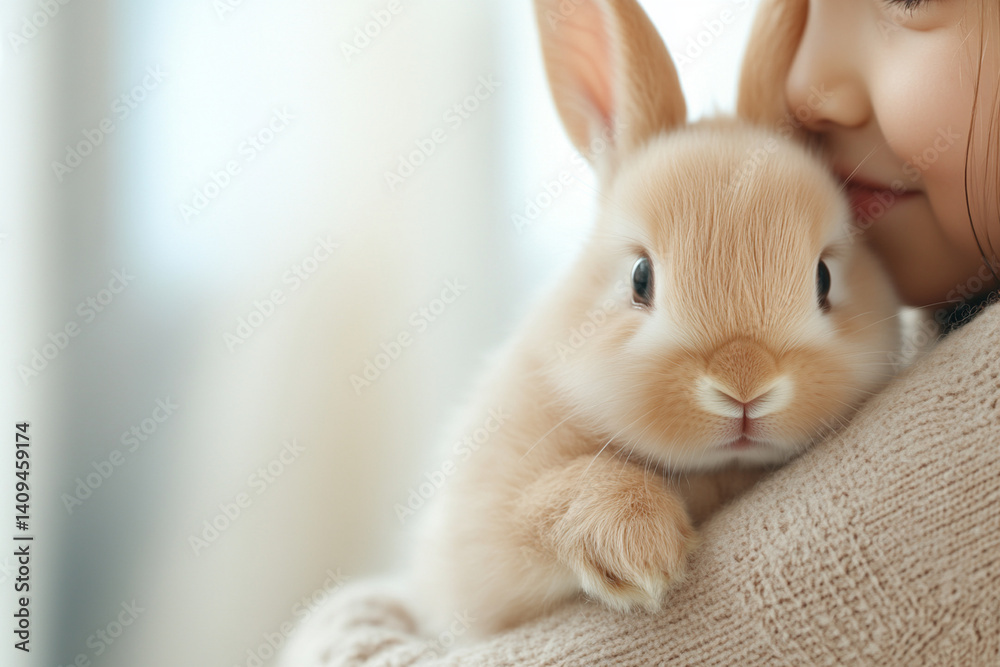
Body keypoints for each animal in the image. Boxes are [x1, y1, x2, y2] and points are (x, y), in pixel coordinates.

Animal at [406, 0, 902, 638]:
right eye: (641, 277)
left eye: (824, 278)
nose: (745, 385)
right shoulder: (478, 535)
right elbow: (533, 506)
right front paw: (640, 548)